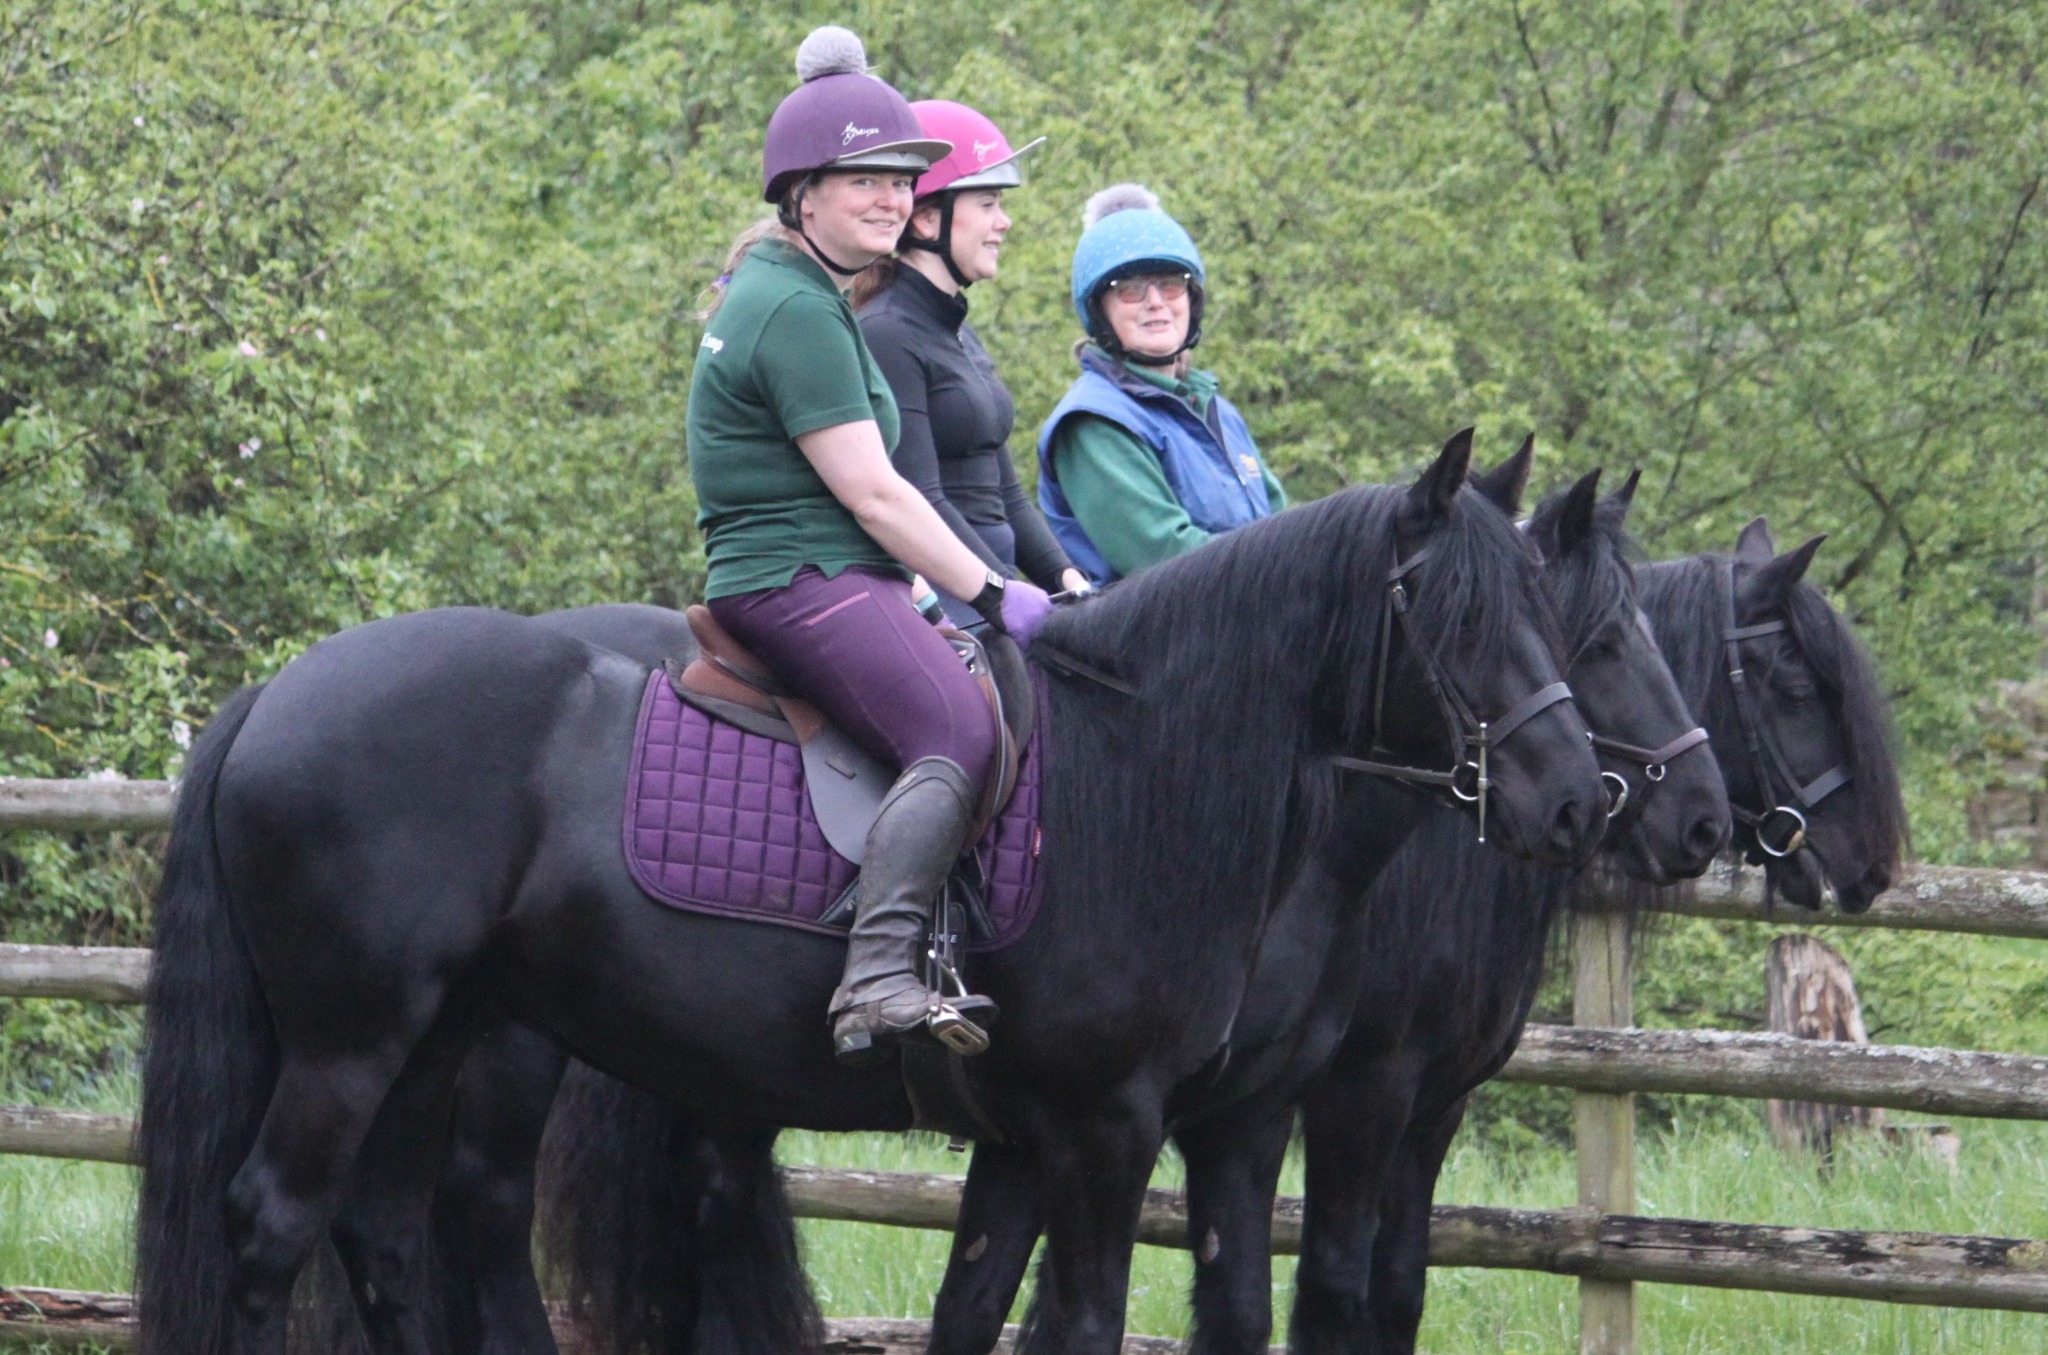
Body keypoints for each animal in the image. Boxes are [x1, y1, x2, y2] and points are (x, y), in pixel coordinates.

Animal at [132, 440, 1613, 1350]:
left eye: (1555, 616)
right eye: (1450, 615)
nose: (1575, 800)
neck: (1151, 764)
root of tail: (278, 690)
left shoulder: (1115, 1133)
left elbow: (1027, 1313)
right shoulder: (1112, 1125)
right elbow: (1088, 1320)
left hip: (440, 1032)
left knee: (383, 1229)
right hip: (352, 1039)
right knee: (273, 1226)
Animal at [1277, 511, 1900, 1355]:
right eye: (1799, 687)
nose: (1874, 863)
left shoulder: (1434, 1101)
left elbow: (1397, 1286)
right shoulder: (1360, 1091)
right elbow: (1333, 1290)